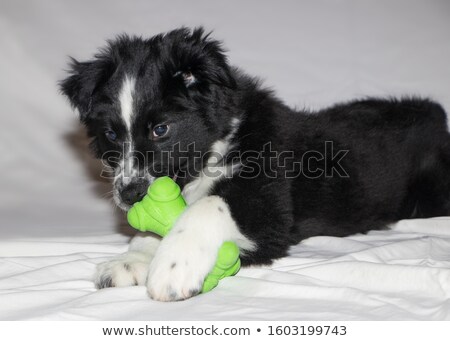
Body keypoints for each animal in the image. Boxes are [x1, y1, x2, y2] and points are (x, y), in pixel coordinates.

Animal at [60, 26, 450, 300]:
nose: (128, 195)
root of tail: (434, 114)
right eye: (111, 134)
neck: (218, 147)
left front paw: (173, 267)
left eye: (161, 129)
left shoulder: (270, 212)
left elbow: (209, 206)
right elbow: (157, 227)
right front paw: (131, 260)